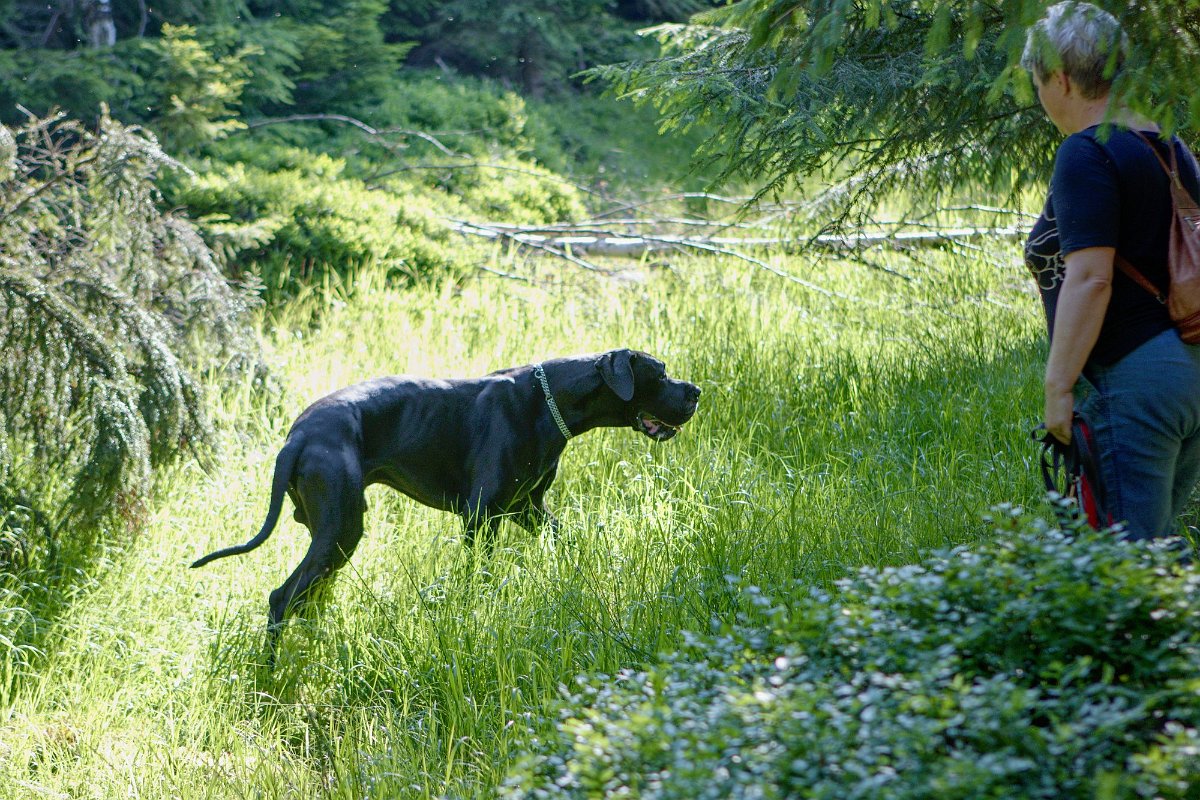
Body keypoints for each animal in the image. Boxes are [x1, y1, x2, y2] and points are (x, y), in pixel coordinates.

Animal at [190, 347, 700, 652]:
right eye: (660, 373)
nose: (696, 391)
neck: (551, 399)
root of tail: (297, 436)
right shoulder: (482, 517)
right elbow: (480, 577)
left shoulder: (527, 509)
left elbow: (569, 540)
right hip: (341, 530)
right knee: (282, 598)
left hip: (330, 538)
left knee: (307, 598)